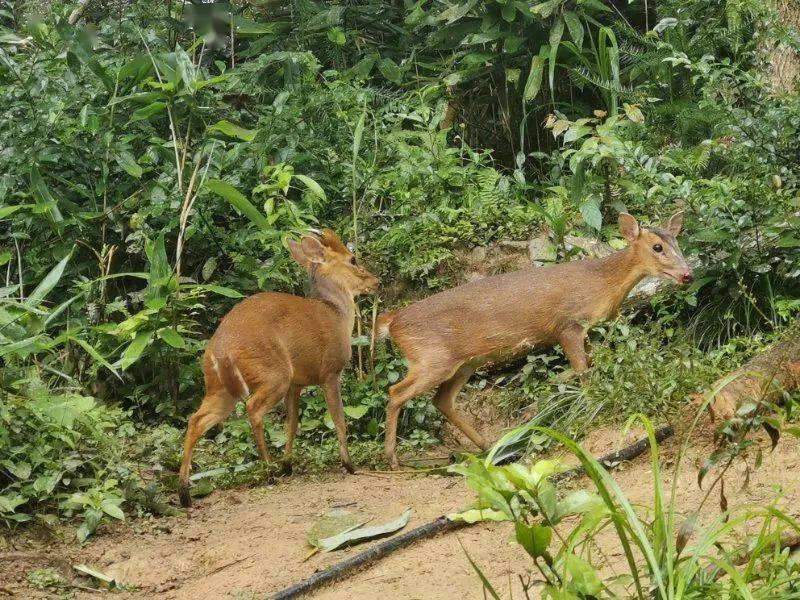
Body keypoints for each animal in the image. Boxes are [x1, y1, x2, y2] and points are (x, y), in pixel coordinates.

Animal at [180, 230, 380, 506]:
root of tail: (220, 349)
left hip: (221, 386)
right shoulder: (329, 372)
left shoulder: (297, 383)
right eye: (352, 259)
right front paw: (349, 464)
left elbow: (291, 424)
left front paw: (288, 465)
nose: (377, 282)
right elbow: (339, 419)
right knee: (252, 408)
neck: (337, 315)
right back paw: (268, 471)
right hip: (273, 373)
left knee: (195, 420)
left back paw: (184, 492)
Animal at [378, 211, 692, 468]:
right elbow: (583, 371)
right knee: (395, 392)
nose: (688, 274)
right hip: (431, 358)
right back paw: (392, 459)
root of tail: (394, 322)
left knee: (441, 400)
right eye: (657, 247)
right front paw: (589, 408)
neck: (602, 284)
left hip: (464, 362)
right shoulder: (568, 325)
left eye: (677, 242)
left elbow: (591, 366)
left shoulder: (587, 330)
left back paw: (489, 446)